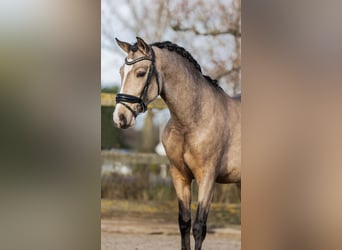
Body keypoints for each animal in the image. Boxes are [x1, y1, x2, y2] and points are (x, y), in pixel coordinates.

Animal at [113, 37, 240, 250]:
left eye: (140, 73)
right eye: (121, 71)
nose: (120, 117)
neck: (193, 119)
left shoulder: (207, 178)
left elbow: (199, 227)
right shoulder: (180, 176)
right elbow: (184, 223)